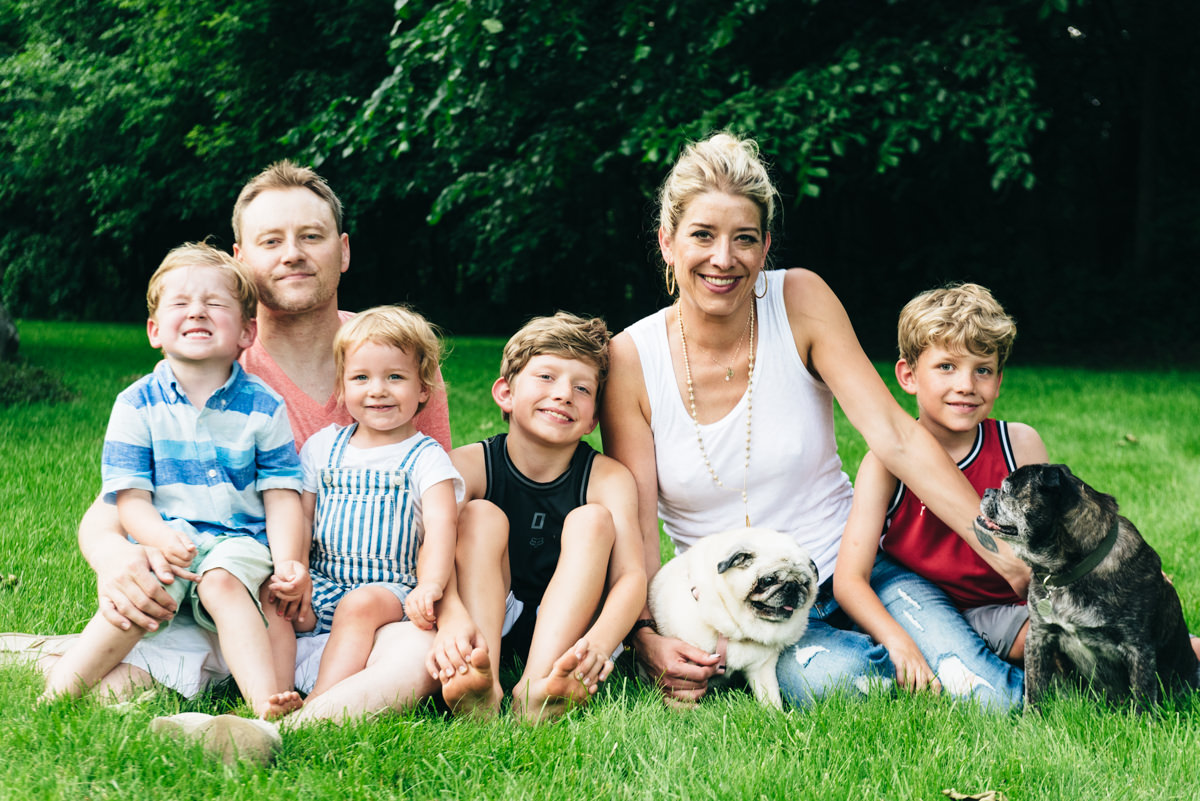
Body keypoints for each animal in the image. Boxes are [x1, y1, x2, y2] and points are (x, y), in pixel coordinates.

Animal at [979, 462, 1195, 705]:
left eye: (1006, 490)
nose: (987, 491)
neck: (1073, 570)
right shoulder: (1038, 637)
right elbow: (1033, 690)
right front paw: (1031, 715)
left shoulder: (1139, 649)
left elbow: (1143, 698)